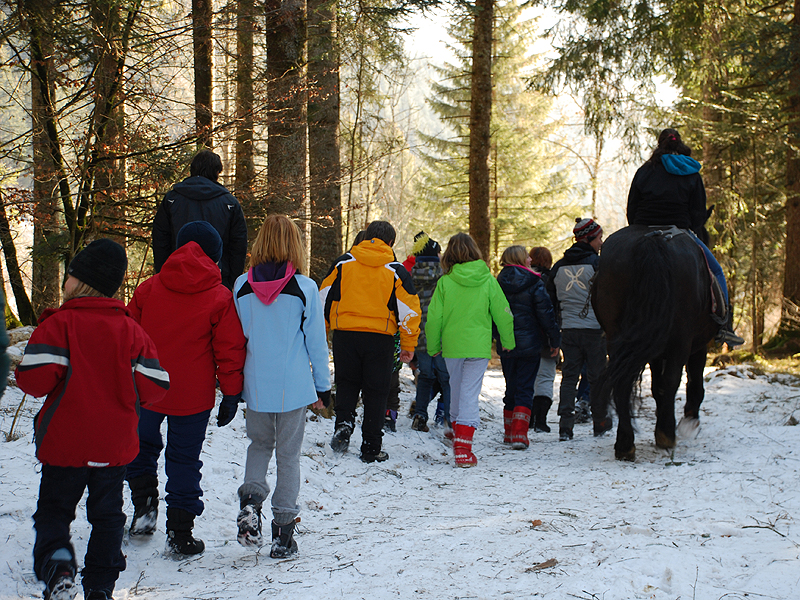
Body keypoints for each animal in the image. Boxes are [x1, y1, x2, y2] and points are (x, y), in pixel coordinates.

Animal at [592, 225, 716, 460]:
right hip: (680, 341)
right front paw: (689, 423)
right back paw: (667, 435)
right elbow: (693, 381)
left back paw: (625, 444)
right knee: (672, 380)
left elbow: (657, 387)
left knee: (622, 382)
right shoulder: (697, 346)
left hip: (618, 339)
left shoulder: (654, 349)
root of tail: (652, 239)